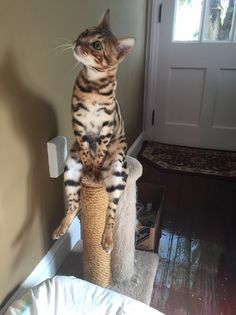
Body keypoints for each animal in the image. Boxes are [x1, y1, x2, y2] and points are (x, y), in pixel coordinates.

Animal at [53, 8, 135, 254]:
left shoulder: (106, 128)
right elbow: (85, 148)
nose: (77, 42)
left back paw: (106, 240)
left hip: (118, 171)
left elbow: (99, 152)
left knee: (111, 211)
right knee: (74, 204)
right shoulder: (78, 124)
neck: (93, 87)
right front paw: (89, 168)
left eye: (97, 45)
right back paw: (60, 228)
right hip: (70, 168)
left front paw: (95, 169)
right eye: (84, 32)